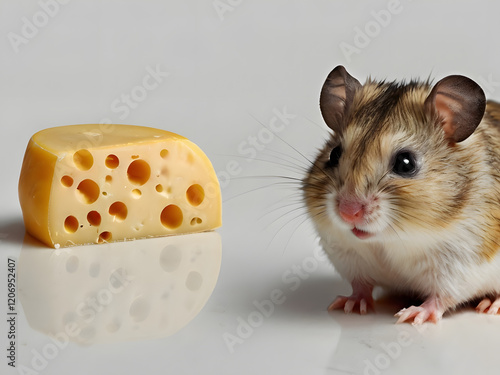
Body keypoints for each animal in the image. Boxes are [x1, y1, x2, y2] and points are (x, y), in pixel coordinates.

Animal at [302, 64, 500, 324]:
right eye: (334, 154)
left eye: (406, 164)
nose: (348, 212)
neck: (394, 239)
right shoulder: (348, 256)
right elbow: (360, 285)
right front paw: (348, 304)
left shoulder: (460, 263)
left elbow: (441, 297)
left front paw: (412, 315)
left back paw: (490, 305)